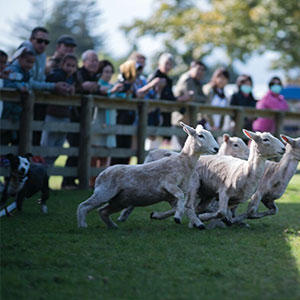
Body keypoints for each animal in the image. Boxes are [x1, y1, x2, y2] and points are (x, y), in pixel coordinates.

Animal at [76, 123, 219, 229]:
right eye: (200, 135)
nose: (216, 149)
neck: (182, 162)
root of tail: (100, 175)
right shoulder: (168, 184)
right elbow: (180, 197)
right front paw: (178, 217)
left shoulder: (173, 195)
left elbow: (186, 207)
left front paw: (197, 223)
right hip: (104, 192)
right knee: (83, 206)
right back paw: (82, 225)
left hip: (119, 201)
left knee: (103, 211)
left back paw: (113, 226)